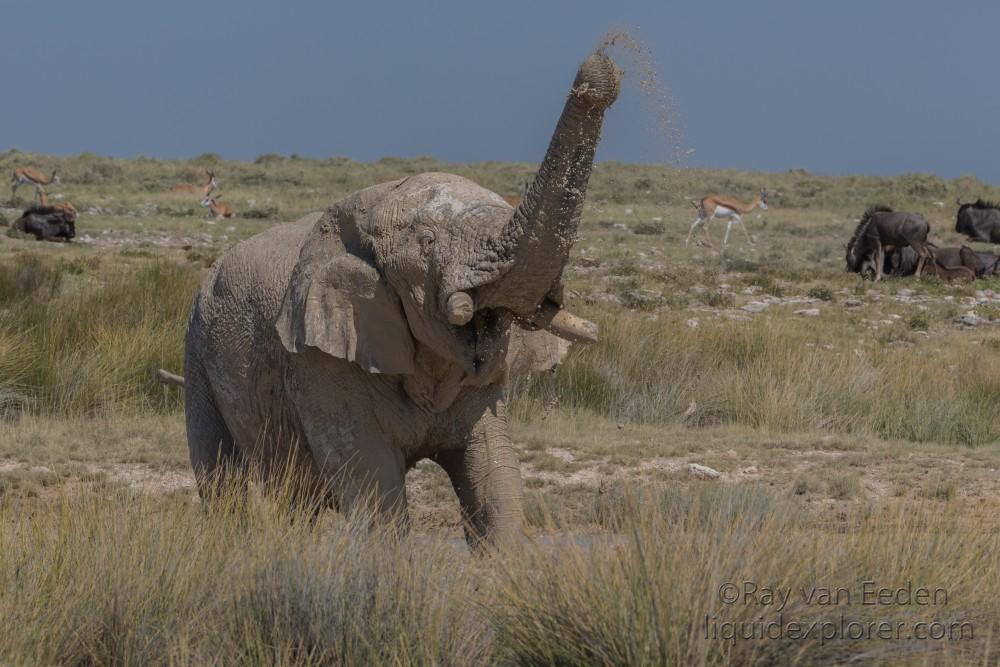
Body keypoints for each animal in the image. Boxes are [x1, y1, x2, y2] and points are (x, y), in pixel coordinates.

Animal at [180, 53, 616, 548]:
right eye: (427, 242)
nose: (602, 67)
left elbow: (494, 474)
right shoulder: (318, 362)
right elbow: (373, 488)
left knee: (297, 498)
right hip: (197, 356)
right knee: (223, 480)